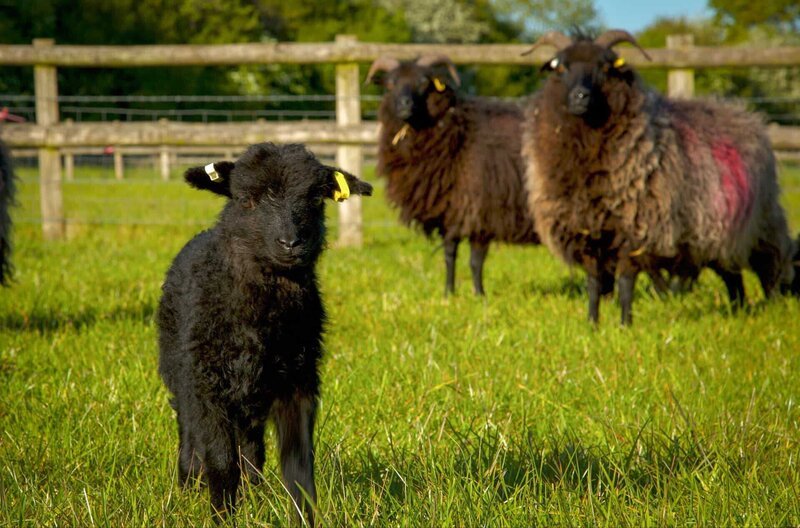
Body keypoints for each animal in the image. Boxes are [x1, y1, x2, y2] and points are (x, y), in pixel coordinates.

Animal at [157, 141, 376, 524]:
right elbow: (221, 461)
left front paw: (303, 520)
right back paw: (189, 483)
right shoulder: (206, 384)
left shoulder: (298, 383)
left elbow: (298, 466)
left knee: (251, 449)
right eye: (246, 199)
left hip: (252, 397)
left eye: (316, 199)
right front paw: (223, 518)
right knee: (190, 434)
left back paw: (253, 492)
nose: (291, 242)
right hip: (182, 377)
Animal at [524, 29, 792, 326]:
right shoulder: (585, 232)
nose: (580, 97)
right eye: (561, 67)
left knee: (769, 264)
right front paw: (592, 325)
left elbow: (625, 282)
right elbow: (593, 284)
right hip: (717, 235)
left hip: (762, 224)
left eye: (605, 67)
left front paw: (624, 325)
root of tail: (746, 116)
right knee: (732, 275)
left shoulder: (635, 230)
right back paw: (738, 310)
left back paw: (772, 305)